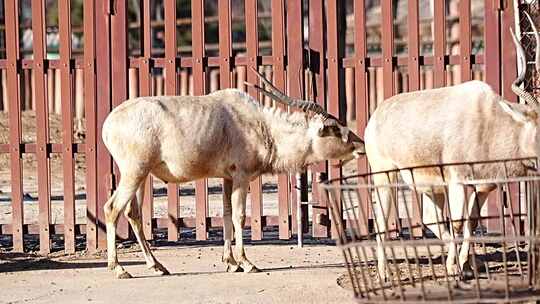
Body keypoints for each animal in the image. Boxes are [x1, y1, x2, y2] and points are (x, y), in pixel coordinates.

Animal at [102, 68, 364, 278]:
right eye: (334, 128)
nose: (361, 145)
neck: (262, 126)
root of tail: (108, 125)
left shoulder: (227, 177)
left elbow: (227, 214)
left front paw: (230, 262)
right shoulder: (241, 176)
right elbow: (239, 216)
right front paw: (247, 263)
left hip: (142, 175)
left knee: (133, 213)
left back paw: (157, 266)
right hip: (134, 172)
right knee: (112, 208)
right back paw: (119, 269)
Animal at [364, 14, 536, 280]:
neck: (489, 120)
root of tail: (376, 115)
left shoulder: (483, 186)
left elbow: (471, 222)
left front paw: (465, 264)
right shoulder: (458, 180)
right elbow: (457, 222)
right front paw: (454, 268)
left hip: (429, 185)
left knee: (430, 218)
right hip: (385, 175)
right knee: (383, 221)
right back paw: (384, 274)